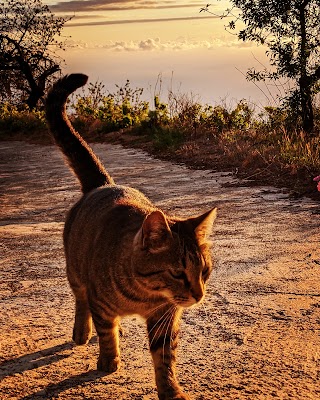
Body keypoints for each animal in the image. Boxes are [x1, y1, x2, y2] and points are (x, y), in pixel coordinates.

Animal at [45, 74, 218, 400]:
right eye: (178, 272)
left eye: (204, 271)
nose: (199, 295)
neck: (143, 297)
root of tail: (103, 184)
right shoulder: (103, 300)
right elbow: (105, 332)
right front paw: (108, 359)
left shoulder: (165, 316)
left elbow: (165, 357)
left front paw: (170, 389)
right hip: (74, 271)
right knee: (82, 302)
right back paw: (83, 331)